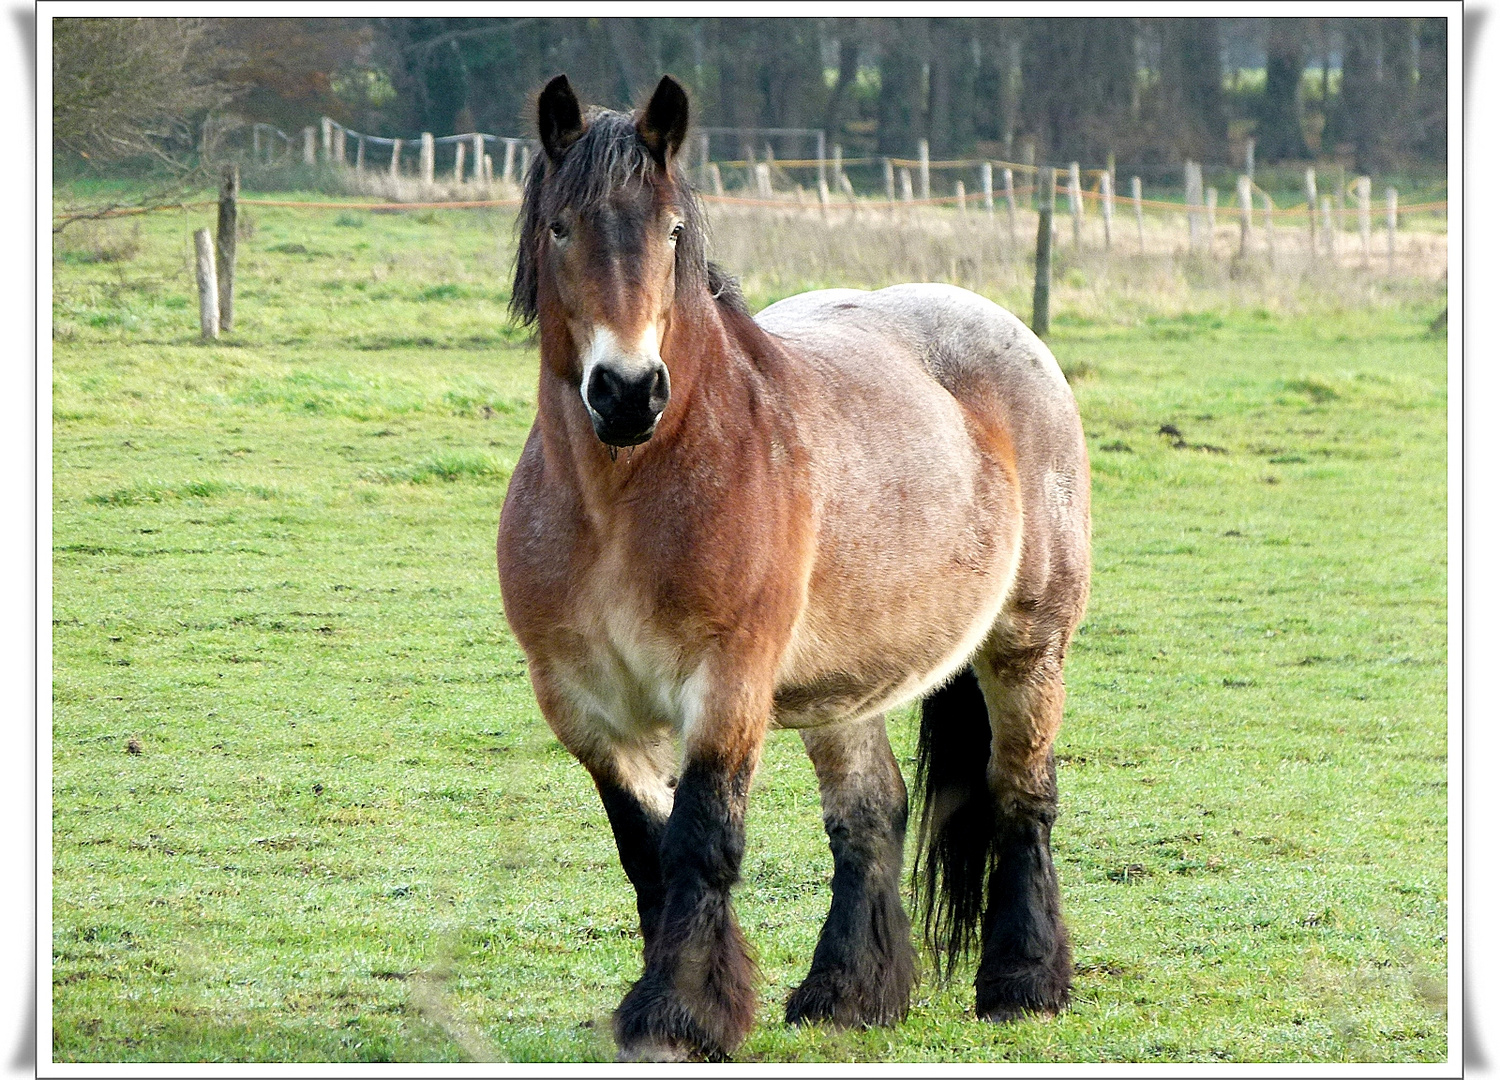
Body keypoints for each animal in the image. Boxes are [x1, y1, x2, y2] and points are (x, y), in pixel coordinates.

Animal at [498, 71, 1098, 1056]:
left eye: (672, 231)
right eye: (560, 227)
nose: (627, 392)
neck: (621, 502)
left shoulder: (727, 684)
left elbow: (701, 840)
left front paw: (679, 1014)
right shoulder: (584, 708)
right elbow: (644, 850)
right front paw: (674, 1005)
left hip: (1027, 646)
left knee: (1022, 795)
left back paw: (1023, 983)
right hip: (843, 685)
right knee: (871, 813)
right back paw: (847, 994)